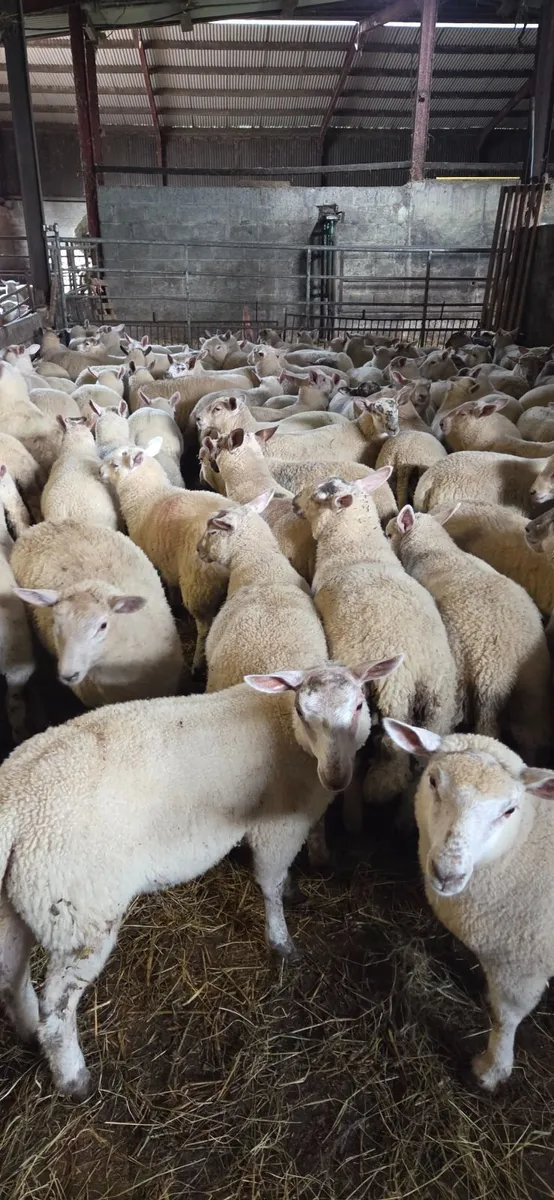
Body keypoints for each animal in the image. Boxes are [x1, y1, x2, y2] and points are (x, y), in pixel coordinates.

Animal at [0, 657, 386, 1097]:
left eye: (359, 705)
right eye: (304, 713)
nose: (337, 778)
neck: (286, 730)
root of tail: (16, 804)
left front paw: (294, 891)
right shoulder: (277, 826)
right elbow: (270, 885)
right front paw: (282, 942)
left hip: (21, 901)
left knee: (10, 976)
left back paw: (29, 1032)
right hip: (79, 912)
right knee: (58, 1006)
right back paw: (72, 1077)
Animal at [100, 440, 234, 674]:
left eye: (115, 465)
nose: (99, 471)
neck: (147, 496)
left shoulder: (159, 559)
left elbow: (169, 586)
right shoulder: (168, 559)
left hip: (199, 586)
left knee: (204, 628)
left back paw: (197, 665)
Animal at [294, 471, 457, 820]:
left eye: (317, 496)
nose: (292, 502)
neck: (356, 548)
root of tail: (416, 669)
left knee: (388, 766)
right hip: (439, 705)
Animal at [383, 717, 554, 1091]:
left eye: (509, 810)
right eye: (433, 781)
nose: (447, 873)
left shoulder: (522, 962)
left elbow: (504, 1017)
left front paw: (491, 1071)